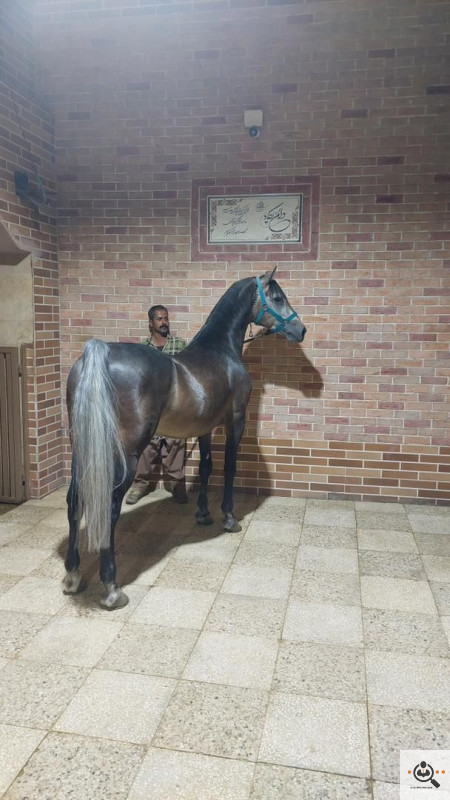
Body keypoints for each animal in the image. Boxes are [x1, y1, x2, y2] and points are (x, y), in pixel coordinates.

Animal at [63, 267, 306, 609]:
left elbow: (205, 467)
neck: (221, 350)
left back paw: (72, 575)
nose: (301, 329)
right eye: (276, 297)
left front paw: (203, 513)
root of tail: (97, 354)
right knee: (110, 505)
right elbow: (228, 468)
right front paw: (229, 517)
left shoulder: (204, 427)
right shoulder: (235, 421)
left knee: (75, 500)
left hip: (81, 449)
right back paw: (111, 587)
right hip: (125, 453)